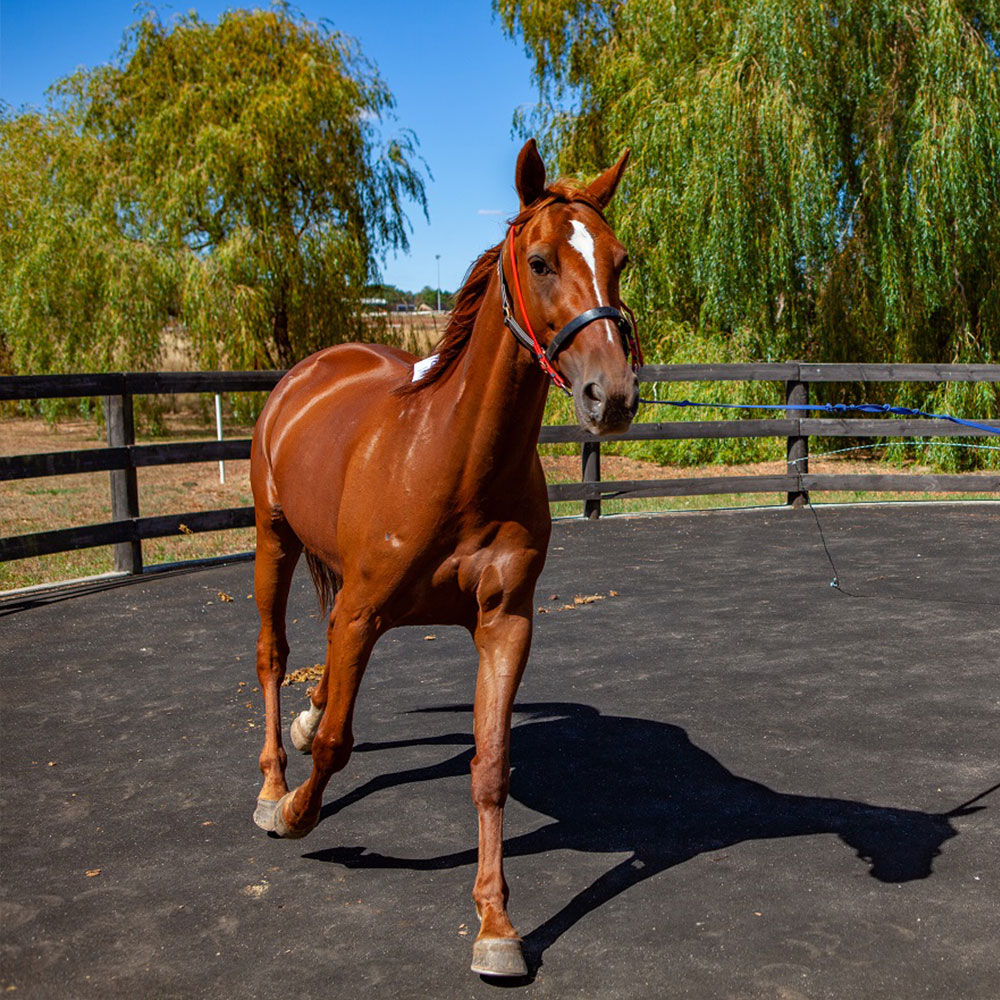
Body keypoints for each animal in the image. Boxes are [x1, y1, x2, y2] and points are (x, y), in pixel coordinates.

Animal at [252, 141, 640, 976]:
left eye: (621, 261)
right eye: (540, 261)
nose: (613, 395)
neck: (457, 464)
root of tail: (312, 368)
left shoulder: (505, 623)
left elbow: (489, 767)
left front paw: (496, 926)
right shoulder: (363, 615)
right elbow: (337, 743)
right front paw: (299, 811)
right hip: (274, 540)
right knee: (273, 656)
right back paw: (272, 784)